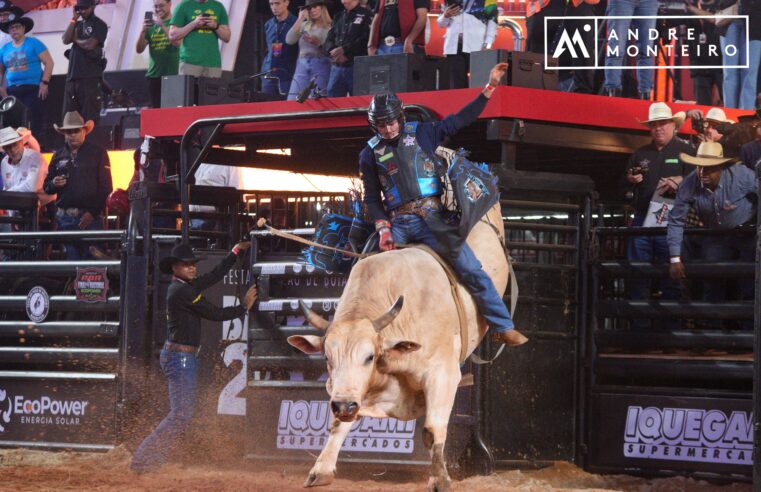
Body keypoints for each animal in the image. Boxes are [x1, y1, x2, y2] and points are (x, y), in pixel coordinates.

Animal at [288, 202, 508, 490]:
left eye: (370, 357)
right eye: (327, 358)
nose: (345, 406)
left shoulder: (443, 374)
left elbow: (432, 430)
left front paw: (440, 479)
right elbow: (337, 424)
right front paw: (320, 470)